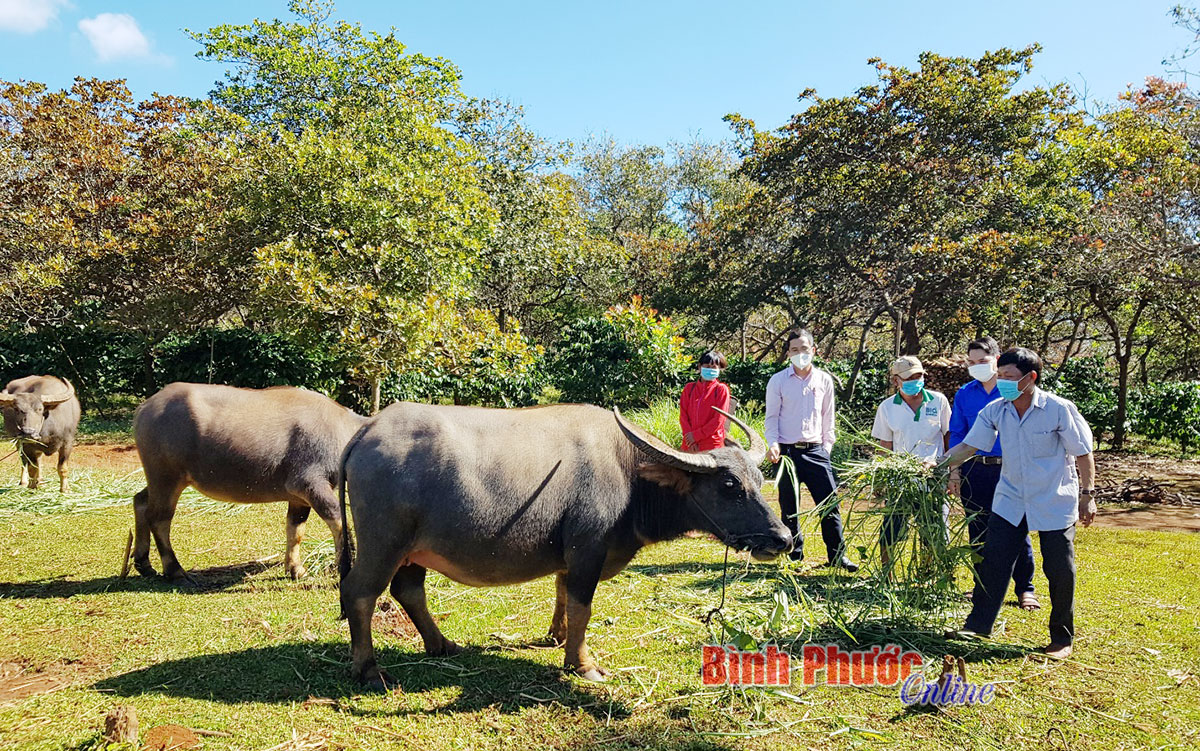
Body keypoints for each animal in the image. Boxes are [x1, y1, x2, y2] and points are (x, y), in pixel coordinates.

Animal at [134, 383, 367, 583]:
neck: (344, 430)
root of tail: (144, 408)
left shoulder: (298, 497)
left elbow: (295, 530)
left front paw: (295, 569)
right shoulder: (310, 484)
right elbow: (340, 522)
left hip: (161, 479)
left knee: (140, 501)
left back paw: (144, 564)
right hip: (166, 477)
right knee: (159, 519)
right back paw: (175, 571)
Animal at [338, 400, 792, 686]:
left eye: (759, 478)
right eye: (729, 486)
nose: (783, 538)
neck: (630, 476)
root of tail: (367, 430)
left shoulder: (569, 556)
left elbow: (561, 592)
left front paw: (556, 636)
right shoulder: (588, 551)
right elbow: (582, 607)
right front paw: (582, 663)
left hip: (412, 550)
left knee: (408, 590)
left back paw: (441, 644)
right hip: (384, 542)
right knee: (361, 591)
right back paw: (369, 671)